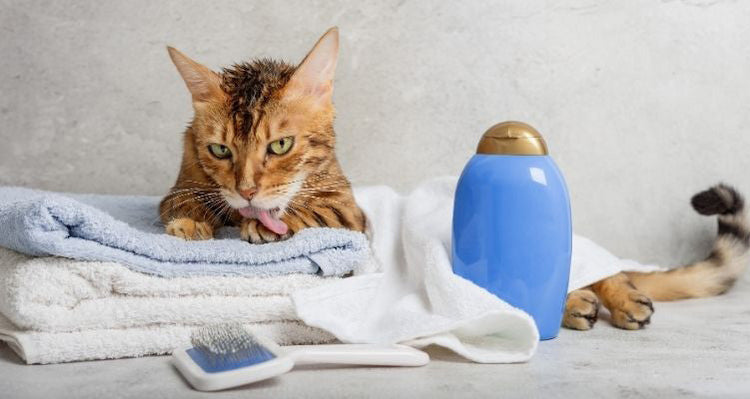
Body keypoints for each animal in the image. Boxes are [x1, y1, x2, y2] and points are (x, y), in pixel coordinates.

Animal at [161, 27, 368, 244]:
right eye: (220, 150)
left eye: (281, 144)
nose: (246, 192)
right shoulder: (181, 183)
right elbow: (183, 201)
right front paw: (191, 221)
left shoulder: (347, 207)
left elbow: (318, 212)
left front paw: (265, 225)